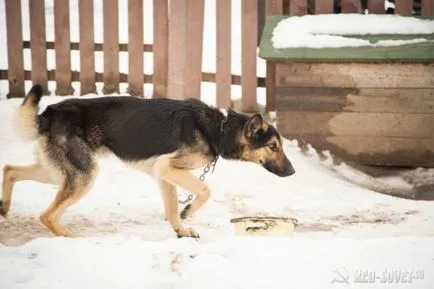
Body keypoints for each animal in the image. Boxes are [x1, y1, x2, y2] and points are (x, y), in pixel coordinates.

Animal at [0, 85, 294, 238]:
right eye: (273, 146)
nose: (292, 172)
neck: (219, 128)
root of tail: (49, 113)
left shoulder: (164, 174)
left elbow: (173, 208)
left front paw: (181, 230)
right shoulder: (167, 168)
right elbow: (205, 190)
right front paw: (189, 212)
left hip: (58, 173)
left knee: (10, 169)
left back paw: (4, 207)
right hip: (83, 175)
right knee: (47, 214)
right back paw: (70, 238)